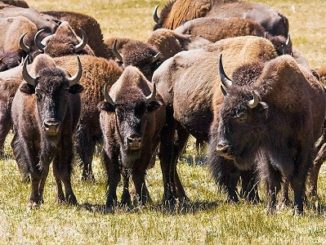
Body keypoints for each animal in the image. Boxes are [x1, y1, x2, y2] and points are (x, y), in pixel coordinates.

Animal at [11, 54, 84, 207]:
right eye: (38, 93)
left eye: (65, 93)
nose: (51, 125)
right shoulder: (29, 143)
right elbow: (35, 172)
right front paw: (33, 201)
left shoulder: (65, 142)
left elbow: (63, 172)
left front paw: (71, 199)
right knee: (43, 170)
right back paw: (40, 198)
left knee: (52, 170)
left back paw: (59, 198)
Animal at [98, 65, 166, 207]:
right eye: (119, 112)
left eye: (144, 112)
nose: (133, 139)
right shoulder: (110, 146)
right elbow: (115, 173)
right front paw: (111, 201)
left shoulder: (146, 148)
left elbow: (137, 173)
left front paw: (141, 201)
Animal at [214, 54, 326, 213]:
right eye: (223, 112)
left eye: (242, 116)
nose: (222, 148)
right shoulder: (268, 151)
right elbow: (272, 181)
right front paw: (270, 210)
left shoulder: (303, 148)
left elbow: (298, 179)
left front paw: (298, 210)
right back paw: (283, 202)